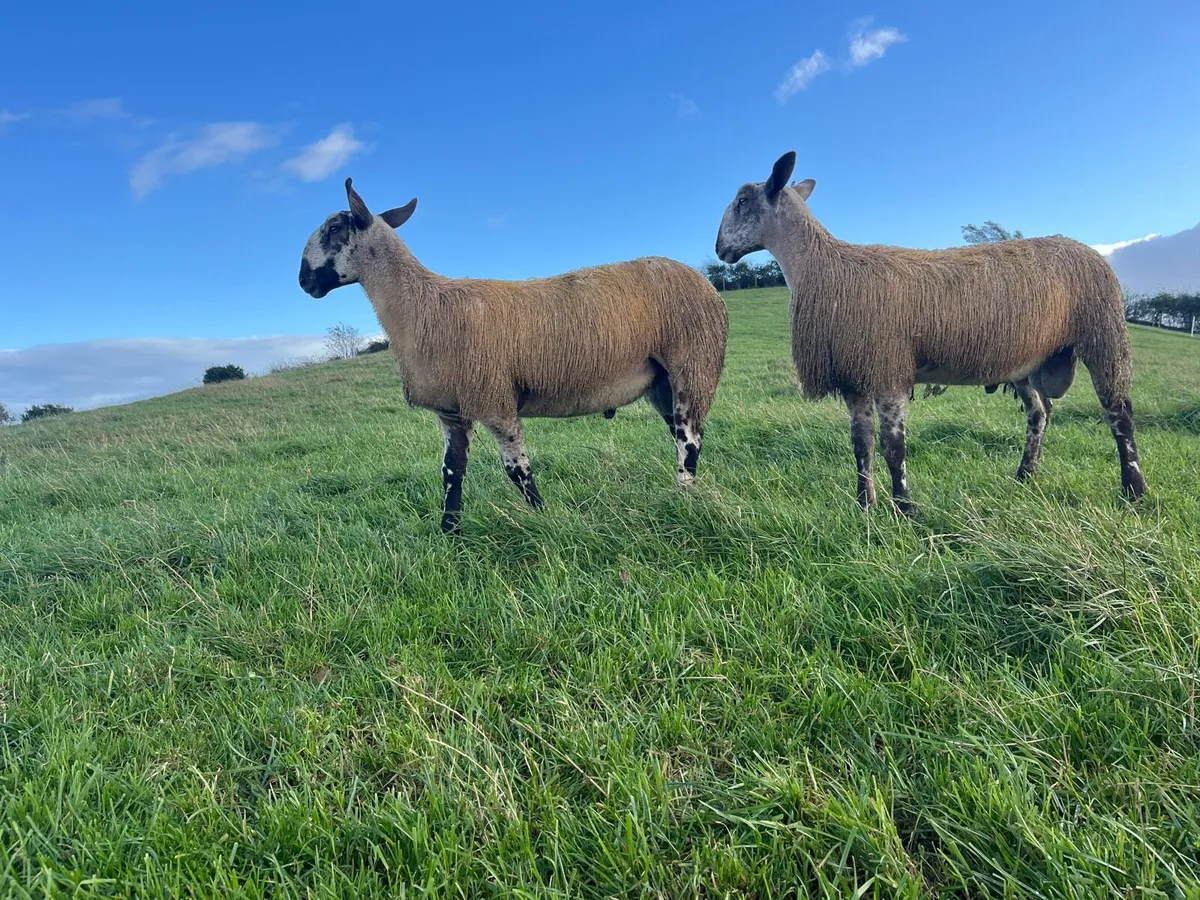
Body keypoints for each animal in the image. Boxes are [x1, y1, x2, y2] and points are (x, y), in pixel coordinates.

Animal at [299, 178, 728, 533]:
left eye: (334, 229)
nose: (303, 280)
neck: (422, 306)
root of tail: (705, 282)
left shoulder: (495, 400)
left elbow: (518, 471)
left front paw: (544, 521)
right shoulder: (451, 410)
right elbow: (451, 473)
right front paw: (449, 535)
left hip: (693, 364)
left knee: (689, 441)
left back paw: (686, 499)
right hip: (661, 383)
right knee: (684, 435)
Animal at [715, 151, 1147, 511]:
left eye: (742, 202)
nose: (719, 249)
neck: (822, 265)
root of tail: (1088, 249)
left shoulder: (887, 366)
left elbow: (893, 446)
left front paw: (905, 508)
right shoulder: (855, 375)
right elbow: (861, 445)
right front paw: (865, 506)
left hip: (1104, 332)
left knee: (1119, 414)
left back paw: (1134, 490)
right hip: (1028, 362)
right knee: (1040, 414)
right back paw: (1024, 477)